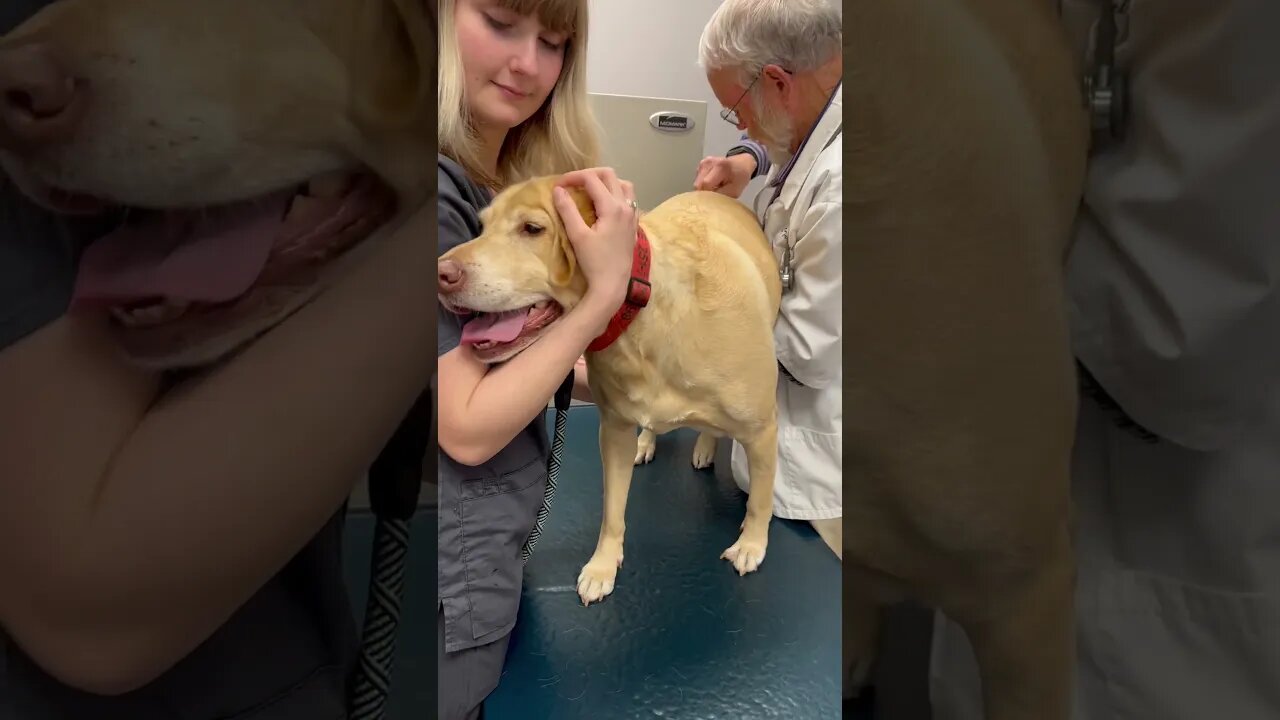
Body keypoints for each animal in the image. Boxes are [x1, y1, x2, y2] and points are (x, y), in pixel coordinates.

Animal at [437, 176, 778, 602]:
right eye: (481, 227)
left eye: (532, 229)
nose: (441, 274)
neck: (641, 317)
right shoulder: (614, 433)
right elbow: (612, 511)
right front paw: (602, 565)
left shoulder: (763, 432)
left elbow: (760, 501)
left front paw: (752, 544)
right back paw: (648, 442)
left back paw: (704, 446)